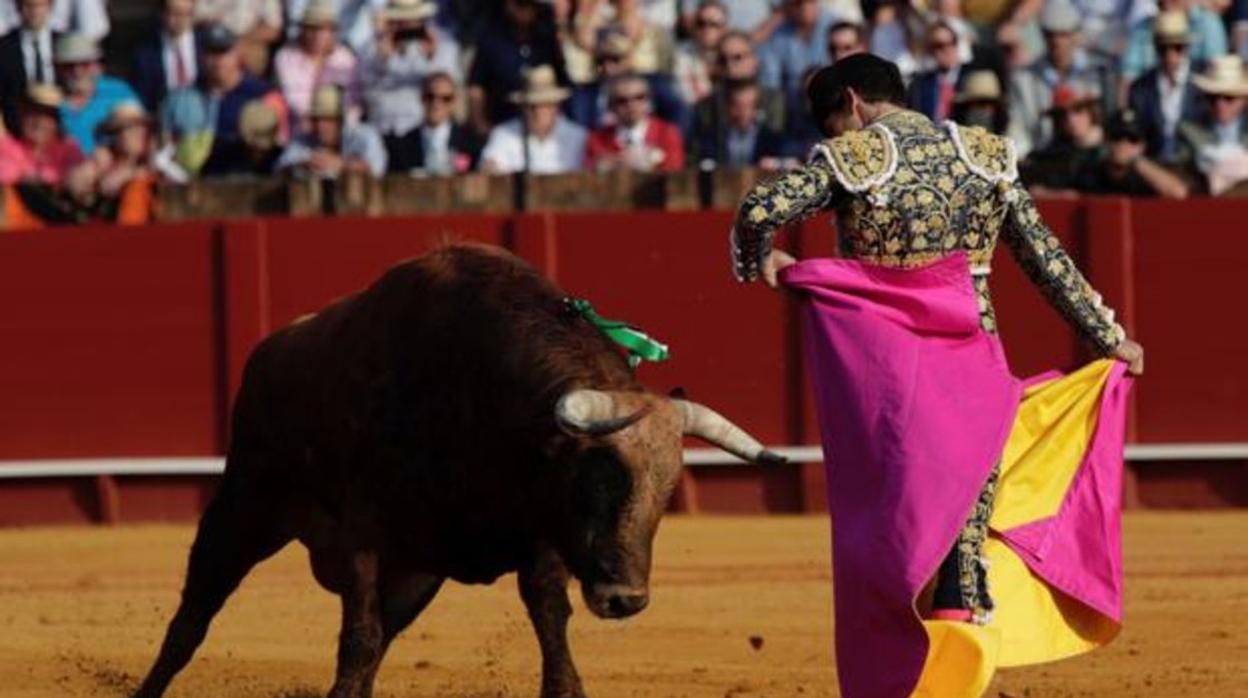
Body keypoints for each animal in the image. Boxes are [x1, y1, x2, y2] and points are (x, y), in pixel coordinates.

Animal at [136, 245, 778, 698]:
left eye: (667, 493)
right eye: (595, 482)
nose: (626, 599)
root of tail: (270, 350)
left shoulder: (538, 535)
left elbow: (550, 619)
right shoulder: (364, 532)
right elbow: (357, 639)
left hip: (416, 573)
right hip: (244, 508)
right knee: (192, 620)